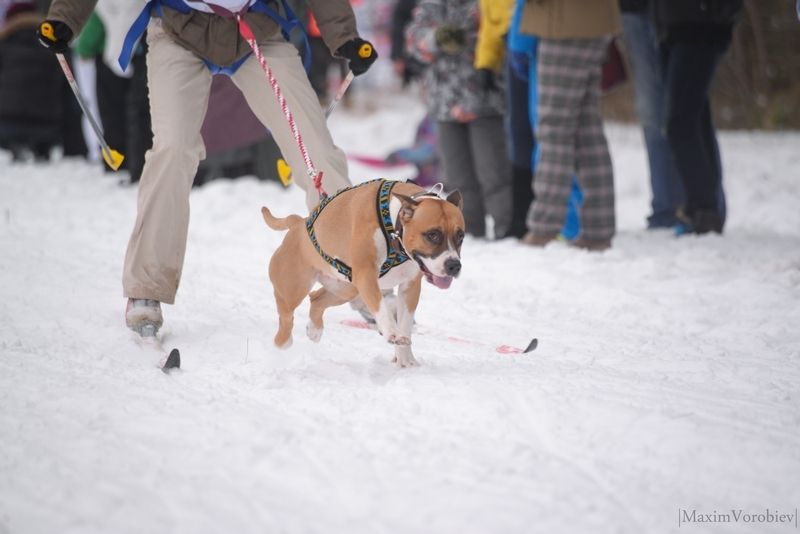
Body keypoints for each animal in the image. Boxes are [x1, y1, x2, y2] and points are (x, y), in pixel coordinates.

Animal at [260, 180, 466, 368]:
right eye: (433, 235)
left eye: (461, 236)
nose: (454, 266)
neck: (393, 225)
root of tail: (298, 223)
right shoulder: (366, 275)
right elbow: (381, 307)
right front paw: (392, 333)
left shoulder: (410, 286)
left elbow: (406, 324)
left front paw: (406, 359)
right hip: (293, 289)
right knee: (287, 317)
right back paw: (281, 344)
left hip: (346, 288)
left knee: (317, 299)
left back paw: (314, 330)